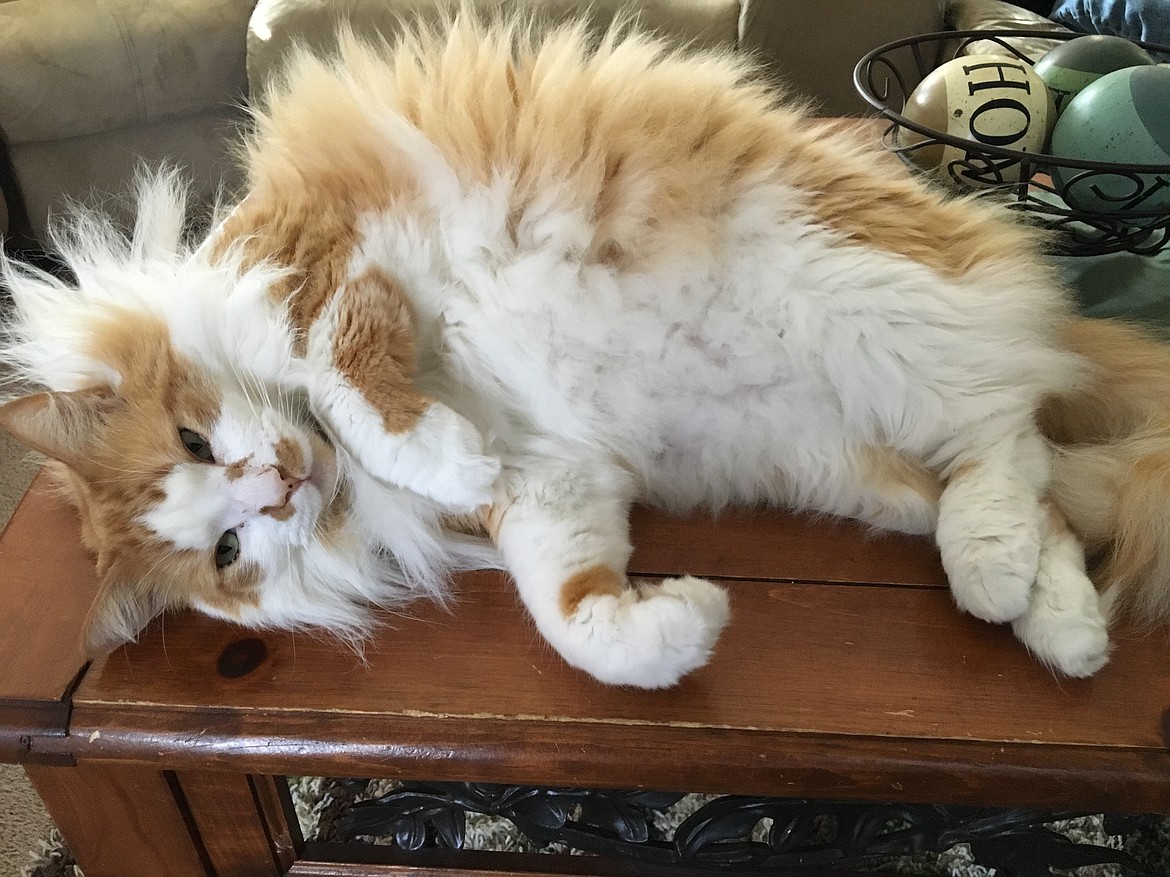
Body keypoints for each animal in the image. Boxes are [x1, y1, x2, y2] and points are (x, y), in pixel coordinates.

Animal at [2, 13, 1170, 687]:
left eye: (195, 440)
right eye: (229, 553)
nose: (279, 484)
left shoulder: (334, 244)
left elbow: (340, 369)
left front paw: (432, 447)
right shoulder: (548, 485)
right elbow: (575, 621)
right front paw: (687, 623)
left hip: (862, 303)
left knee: (1006, 427)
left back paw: (1003, 577)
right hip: (854, 467)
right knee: (1038, 486)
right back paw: (1051, 617)